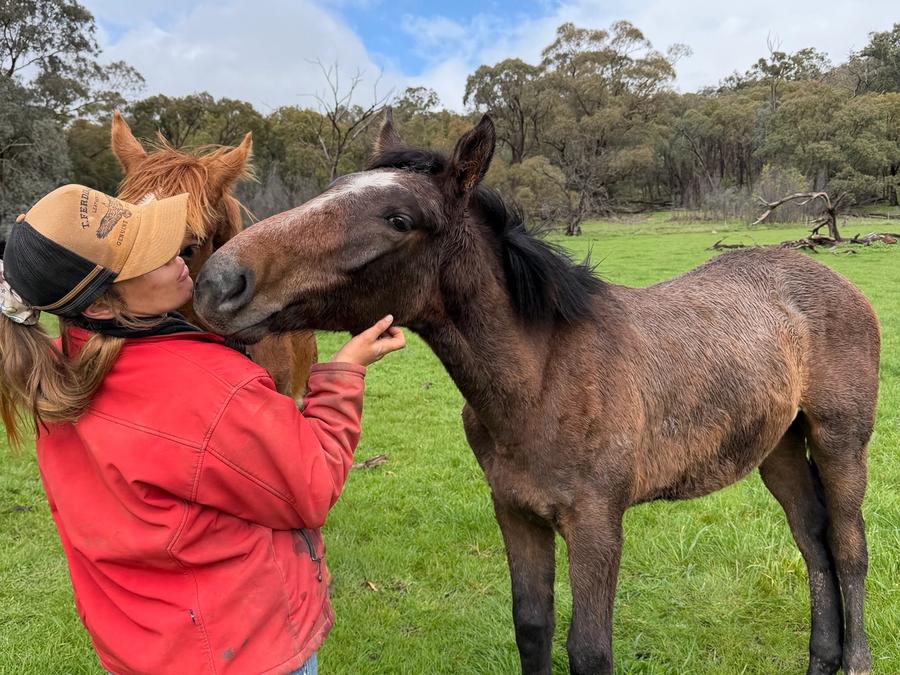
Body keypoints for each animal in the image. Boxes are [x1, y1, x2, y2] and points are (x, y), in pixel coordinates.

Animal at [192, 113, 879, 675]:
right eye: (332, 190)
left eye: (399, 219)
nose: (220, 283)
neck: (541, 380)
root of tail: (832, 279)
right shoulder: (516, 512)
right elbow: (532, 628)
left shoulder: (597, 523)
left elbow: (589, 650)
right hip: (780, 448)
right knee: (812, 541)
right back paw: (819, 661)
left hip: (840, 440)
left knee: (848, 547)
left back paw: (854, 662)